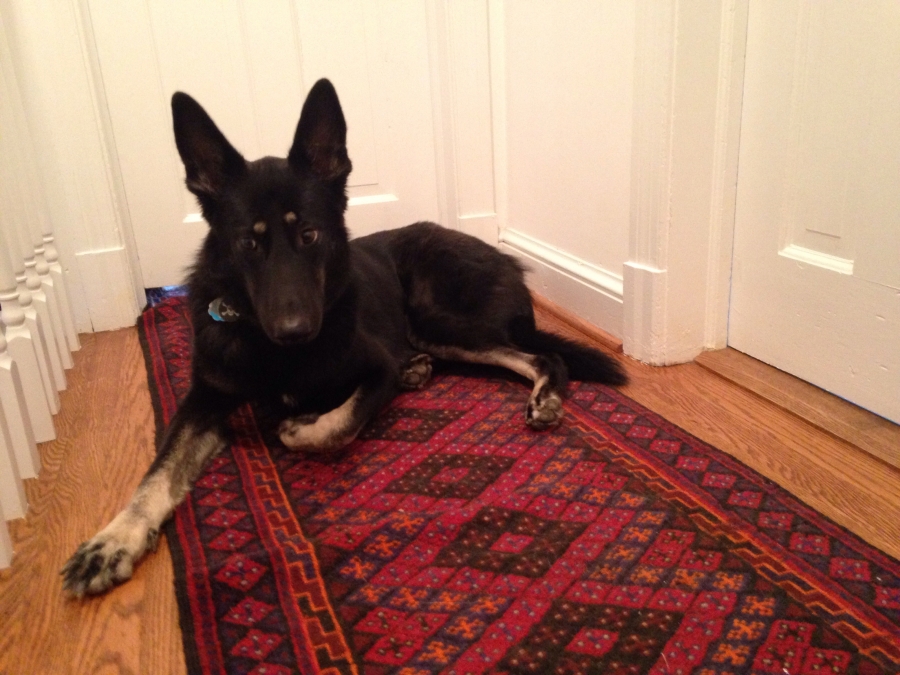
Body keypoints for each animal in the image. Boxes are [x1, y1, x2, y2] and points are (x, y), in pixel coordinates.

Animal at [62, 79, 626, 596]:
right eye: (248, 243)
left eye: (309, 234)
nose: (294, 331)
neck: (276, 353)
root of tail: (507, 260)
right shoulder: (204, 399)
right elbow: (156, 474)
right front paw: (113, 540)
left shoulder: (374, 372)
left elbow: (339, 425)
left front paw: (302, 424)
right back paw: (418, 370)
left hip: (434, 318)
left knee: (543, 355)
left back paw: (541, 394)